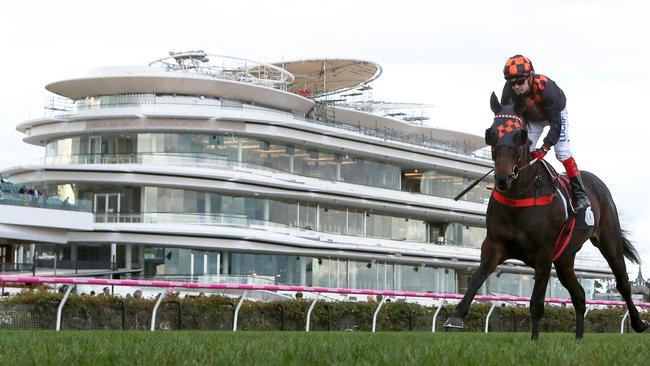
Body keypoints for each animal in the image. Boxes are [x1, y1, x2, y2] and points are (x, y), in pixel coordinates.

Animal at [442, 92, 644, 340]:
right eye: (491, 133)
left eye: (519, 135)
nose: (502, 178)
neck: (519, 196)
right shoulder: (493, 245)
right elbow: (477, 279)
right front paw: (455, 317)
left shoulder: (544, 252)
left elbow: (537, 301)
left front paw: (534, 340)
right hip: (565, 259)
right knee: (579, 295)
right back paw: (578, 338)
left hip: (609, 241)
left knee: (623, 283)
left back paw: (638, 323)